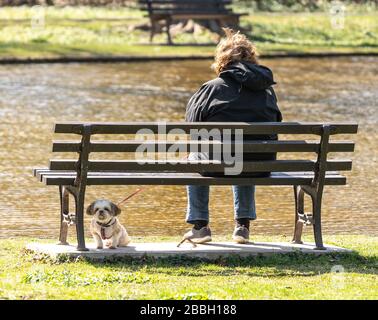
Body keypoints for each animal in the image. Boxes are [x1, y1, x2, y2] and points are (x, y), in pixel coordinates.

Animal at [31, 122, 358, 252]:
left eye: (106, 210)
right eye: (97, 210)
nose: (100, 214)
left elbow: (109, 238)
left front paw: (103, 245)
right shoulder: (97, 230)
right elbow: (97, 238)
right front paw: (95, 245)